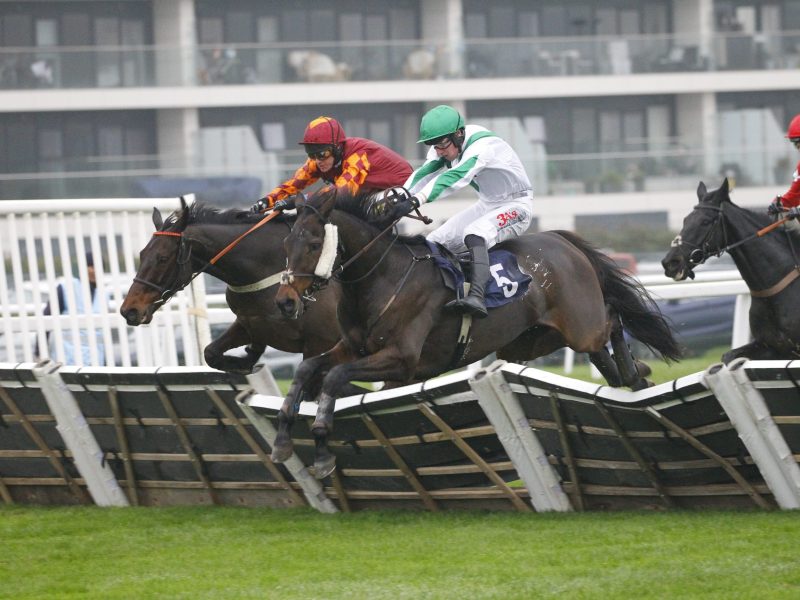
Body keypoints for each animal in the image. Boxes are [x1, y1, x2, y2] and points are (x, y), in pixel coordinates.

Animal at [119, 199, 340, 372]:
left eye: (162, 258)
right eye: (141, 254)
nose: (129, 310)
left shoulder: (320, 342)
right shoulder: (248, 323)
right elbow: (210, 353)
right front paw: (246, 362)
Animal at [270, 190, 680, 476]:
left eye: (313, 244)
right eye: (286, 244)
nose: (285, 302)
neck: (381, 277)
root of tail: (562, 239)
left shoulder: (402, 361)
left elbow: (334, 377)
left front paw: (322, 442)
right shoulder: (354, 347)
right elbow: (308, 369)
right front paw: (282, 439)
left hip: (580, 325)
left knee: (612, 318)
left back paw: (635, 374)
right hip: (530, 341)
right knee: (598, 341)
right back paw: (627, 377)